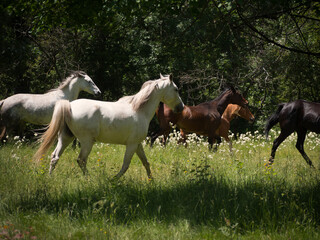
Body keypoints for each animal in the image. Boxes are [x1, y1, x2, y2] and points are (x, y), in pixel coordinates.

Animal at [33, 74, 184, 179]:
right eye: (176, 89)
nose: (181, 107)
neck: (139, 110)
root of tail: (69, 105)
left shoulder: (137, 144)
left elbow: (146, 162)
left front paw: (151, 180)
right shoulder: (131, 145)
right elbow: (125, 165)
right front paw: (113, 179)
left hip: (66, 137)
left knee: (54, 156)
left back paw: (50, 177)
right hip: (87, 141)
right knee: (81, 160)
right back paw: (90, 179)